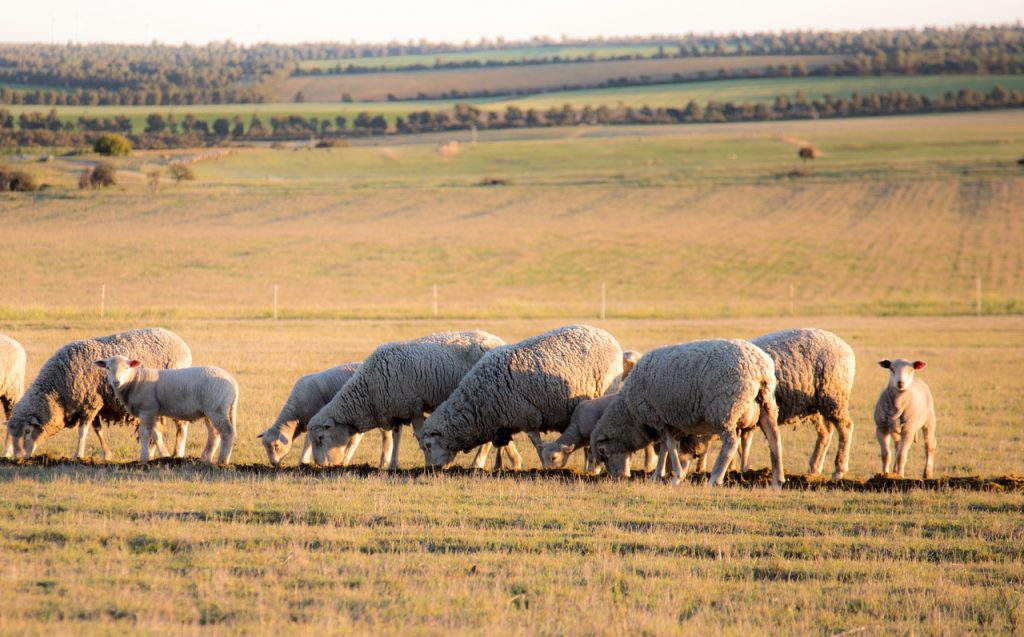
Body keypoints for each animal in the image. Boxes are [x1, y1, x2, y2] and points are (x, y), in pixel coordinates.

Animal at [8, 328, 192, 460]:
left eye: (27, 431)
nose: (18, 458)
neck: (57, 390)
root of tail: (181, 343)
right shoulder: (96, 403)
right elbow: (98, 430)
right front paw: (107, 454)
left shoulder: (89, 403)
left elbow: (82, 431)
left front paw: (78, 455)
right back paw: (158, 453)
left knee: (182, 426)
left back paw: (178, 454)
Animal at [94, 355, 238, 464]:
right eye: (107, 368)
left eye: (127, 367)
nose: (116, 382)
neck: (134, 381)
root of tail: (232, 381)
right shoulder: (154, 412)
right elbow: (156, 433)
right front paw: (163, 455)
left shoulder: (147, 409)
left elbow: (145, 433)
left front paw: (144, 458)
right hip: (210, 411)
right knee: (214, 433)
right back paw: (205, 458)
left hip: (216, 408)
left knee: (227, 431)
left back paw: (222, 461)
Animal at [306, 330, 506, 470]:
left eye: (321, 437)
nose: (319, 466)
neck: (368, 390)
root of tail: (498, 341)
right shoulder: (397, 410)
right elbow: (396, 437)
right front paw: (393, 465)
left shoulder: (413, 407)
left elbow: (419, 435)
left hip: (484, 399)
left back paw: (477, 464)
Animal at [417, 324, 624, 469]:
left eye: (428, 445)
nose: (431, 469)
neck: (476, 403)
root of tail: (607, 336)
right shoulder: (501, 421)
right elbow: (501, 445)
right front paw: (501, 466)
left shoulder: (528, 417)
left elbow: (536, 443)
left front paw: (543, 465)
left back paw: (592, 467)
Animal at [589, 339, 784, 487]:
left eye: (602, 452)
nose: (616, 477)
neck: (630, 413)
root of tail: (758, 367)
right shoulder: (671, 422)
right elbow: (665, 448)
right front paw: (657, 475)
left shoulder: (658, 418)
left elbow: (669, 447)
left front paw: (677, 476)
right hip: (766, 404)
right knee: (774, 439)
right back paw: (777, 480)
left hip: (725, 409)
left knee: (731, 444)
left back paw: (715, 478)